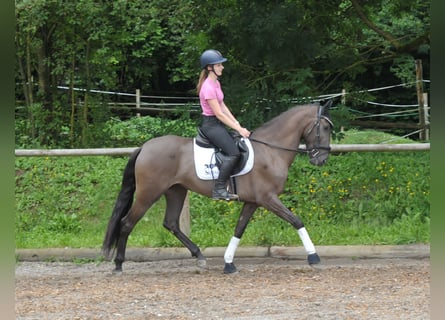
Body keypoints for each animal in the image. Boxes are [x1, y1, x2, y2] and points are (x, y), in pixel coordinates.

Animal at [102, 99, 332, 272]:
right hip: (148, 193)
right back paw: (118, 264)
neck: (271, 150)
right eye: (325, 127)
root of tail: (144, 147)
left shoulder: (253, 202)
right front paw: (313, 257)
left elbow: (239, 229)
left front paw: (229, 263)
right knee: (126, 223)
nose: (321, 159)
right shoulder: (268, 198)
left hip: (176, 191)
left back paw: (199, 255)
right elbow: (296, 220)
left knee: (171, 223)